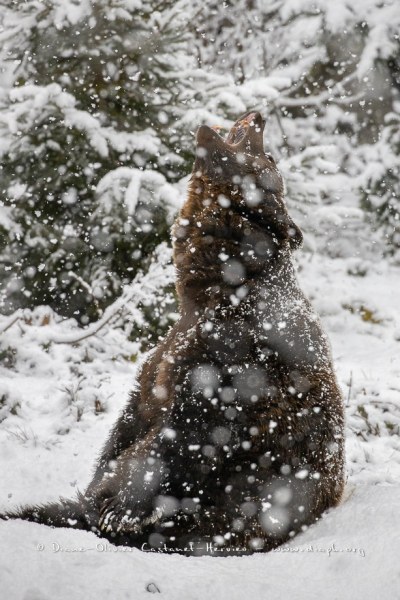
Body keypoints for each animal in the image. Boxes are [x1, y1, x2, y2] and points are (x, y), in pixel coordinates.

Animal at [0, 111, 346, 552]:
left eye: (268, 157)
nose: (259, 116)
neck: (213, 291)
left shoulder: (231, 366)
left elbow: (180, 441)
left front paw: (119, 509)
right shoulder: (162, 362)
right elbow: (129, 422)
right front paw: (98, 494)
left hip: (250, 500)